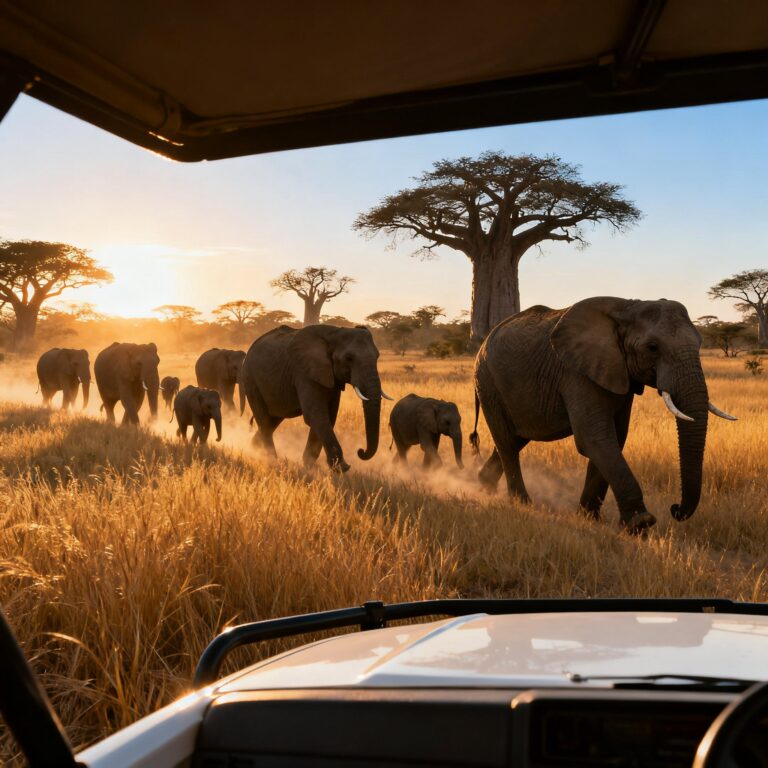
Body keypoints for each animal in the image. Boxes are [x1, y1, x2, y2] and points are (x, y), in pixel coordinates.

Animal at [240, 324, 392, 471]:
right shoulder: (304, 372)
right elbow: (316, 415)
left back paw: (254, 450)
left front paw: (309, 466)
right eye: (349, 358)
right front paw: (341, 468)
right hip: (250, 379)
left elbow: (329, 416)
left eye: (377, 357)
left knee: (272, 420)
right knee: (265, 421)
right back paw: (271, 461)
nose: (360, 451)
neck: (334, 332)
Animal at [470, 297, 736, 534]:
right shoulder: (576, 373)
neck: (628, 307)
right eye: (652, 348)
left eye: (700, 343)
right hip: (488, 383)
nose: (675, 508)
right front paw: (640, 524)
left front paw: (588, 519)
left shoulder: (619, 374)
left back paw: (484, 486)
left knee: (515, 439)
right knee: (507, 442)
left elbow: (614, 439)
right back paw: (522, 503)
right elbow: (594, 439)